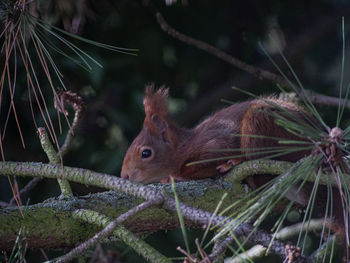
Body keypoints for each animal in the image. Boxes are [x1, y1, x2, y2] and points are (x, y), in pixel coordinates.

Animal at [121, 86, 310, 186]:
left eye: (146, 153)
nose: (124, 176)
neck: (184, 147)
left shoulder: (216, 143)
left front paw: (177, 176)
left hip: (261, 122)